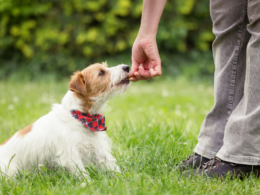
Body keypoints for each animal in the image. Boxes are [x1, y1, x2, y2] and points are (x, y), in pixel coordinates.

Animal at [0, 62, 130, 180]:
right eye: (101, 72)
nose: (127, 67)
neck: (81, 117)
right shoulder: (71, 155)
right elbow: (83, 175)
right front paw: (89, 185)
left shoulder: (99, 150)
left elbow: (111, 165)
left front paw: (123, 179)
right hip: (11, 172)